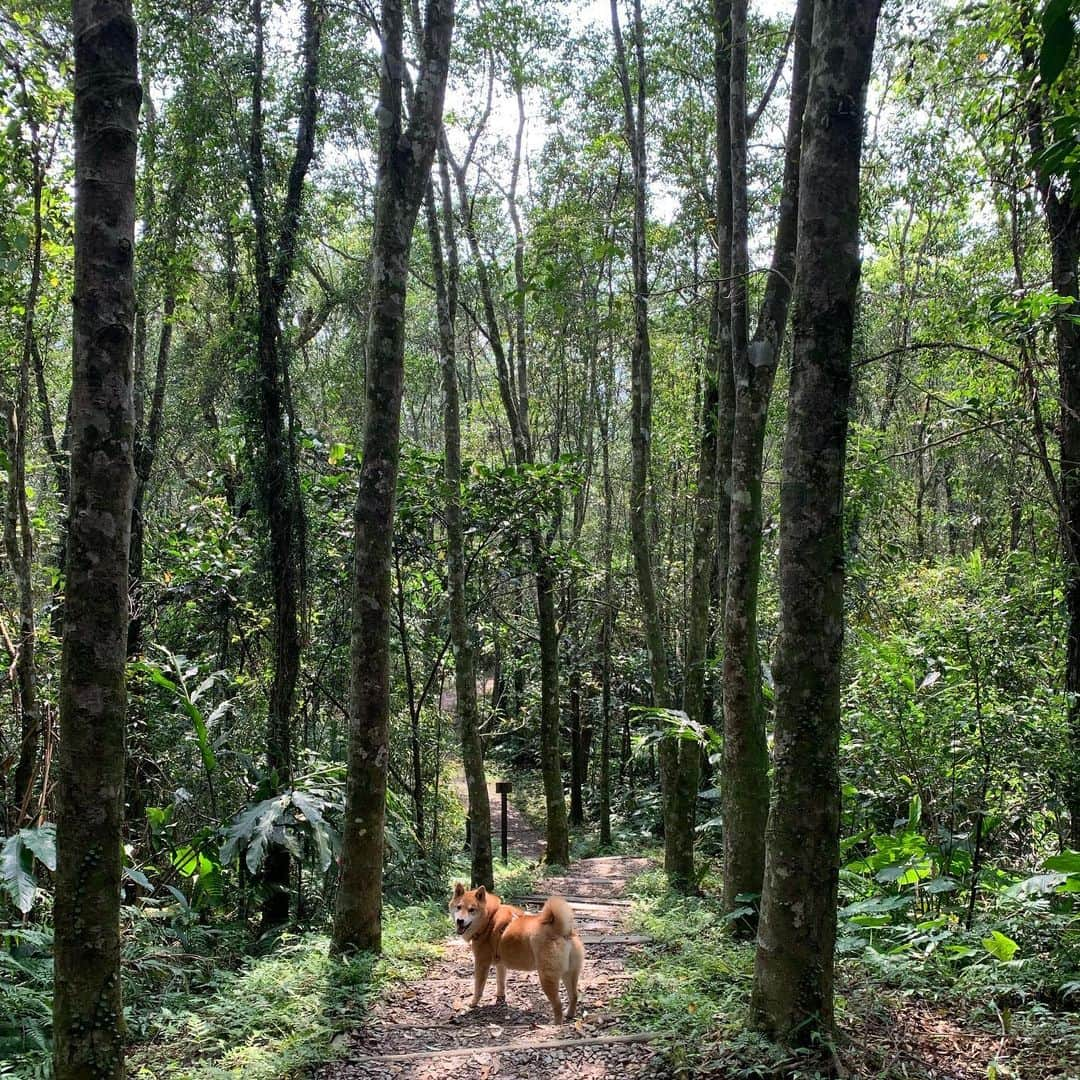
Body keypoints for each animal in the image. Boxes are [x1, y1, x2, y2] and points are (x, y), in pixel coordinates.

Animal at [447, 881, 583, 1023]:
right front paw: (500, 998)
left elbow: (478, 988)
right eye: (459, 907)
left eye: (471, 910)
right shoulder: (501, 964)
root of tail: (561, 930)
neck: (489, 919)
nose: (460, 921)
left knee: (558, 1004)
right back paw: (569, 1014)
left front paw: (473, 1003)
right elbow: (500, 983)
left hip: (547, 977)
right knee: (574, 996)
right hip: (569, 974)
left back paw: (555, 1023)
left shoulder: (481, 963)